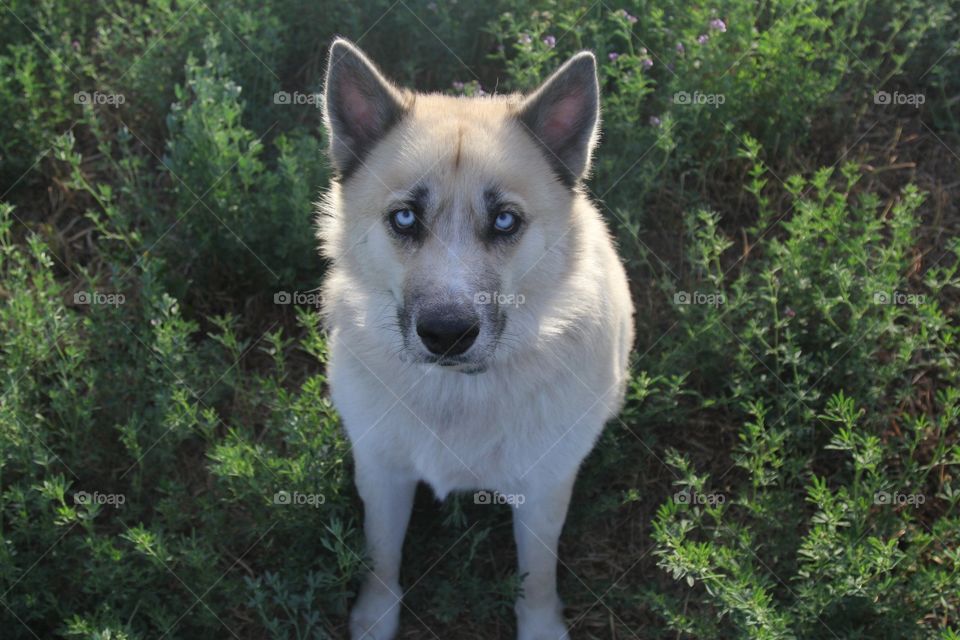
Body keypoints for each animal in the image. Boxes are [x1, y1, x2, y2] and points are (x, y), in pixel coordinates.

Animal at [318, 37, 636, 636]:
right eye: (404, 217)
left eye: (506, 221)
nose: (447, 334)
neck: (459, 388)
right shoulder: (382, 472)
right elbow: (381, 556)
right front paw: (376, 616)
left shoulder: (543, 489)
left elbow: (538, 574)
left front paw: (539, 626)